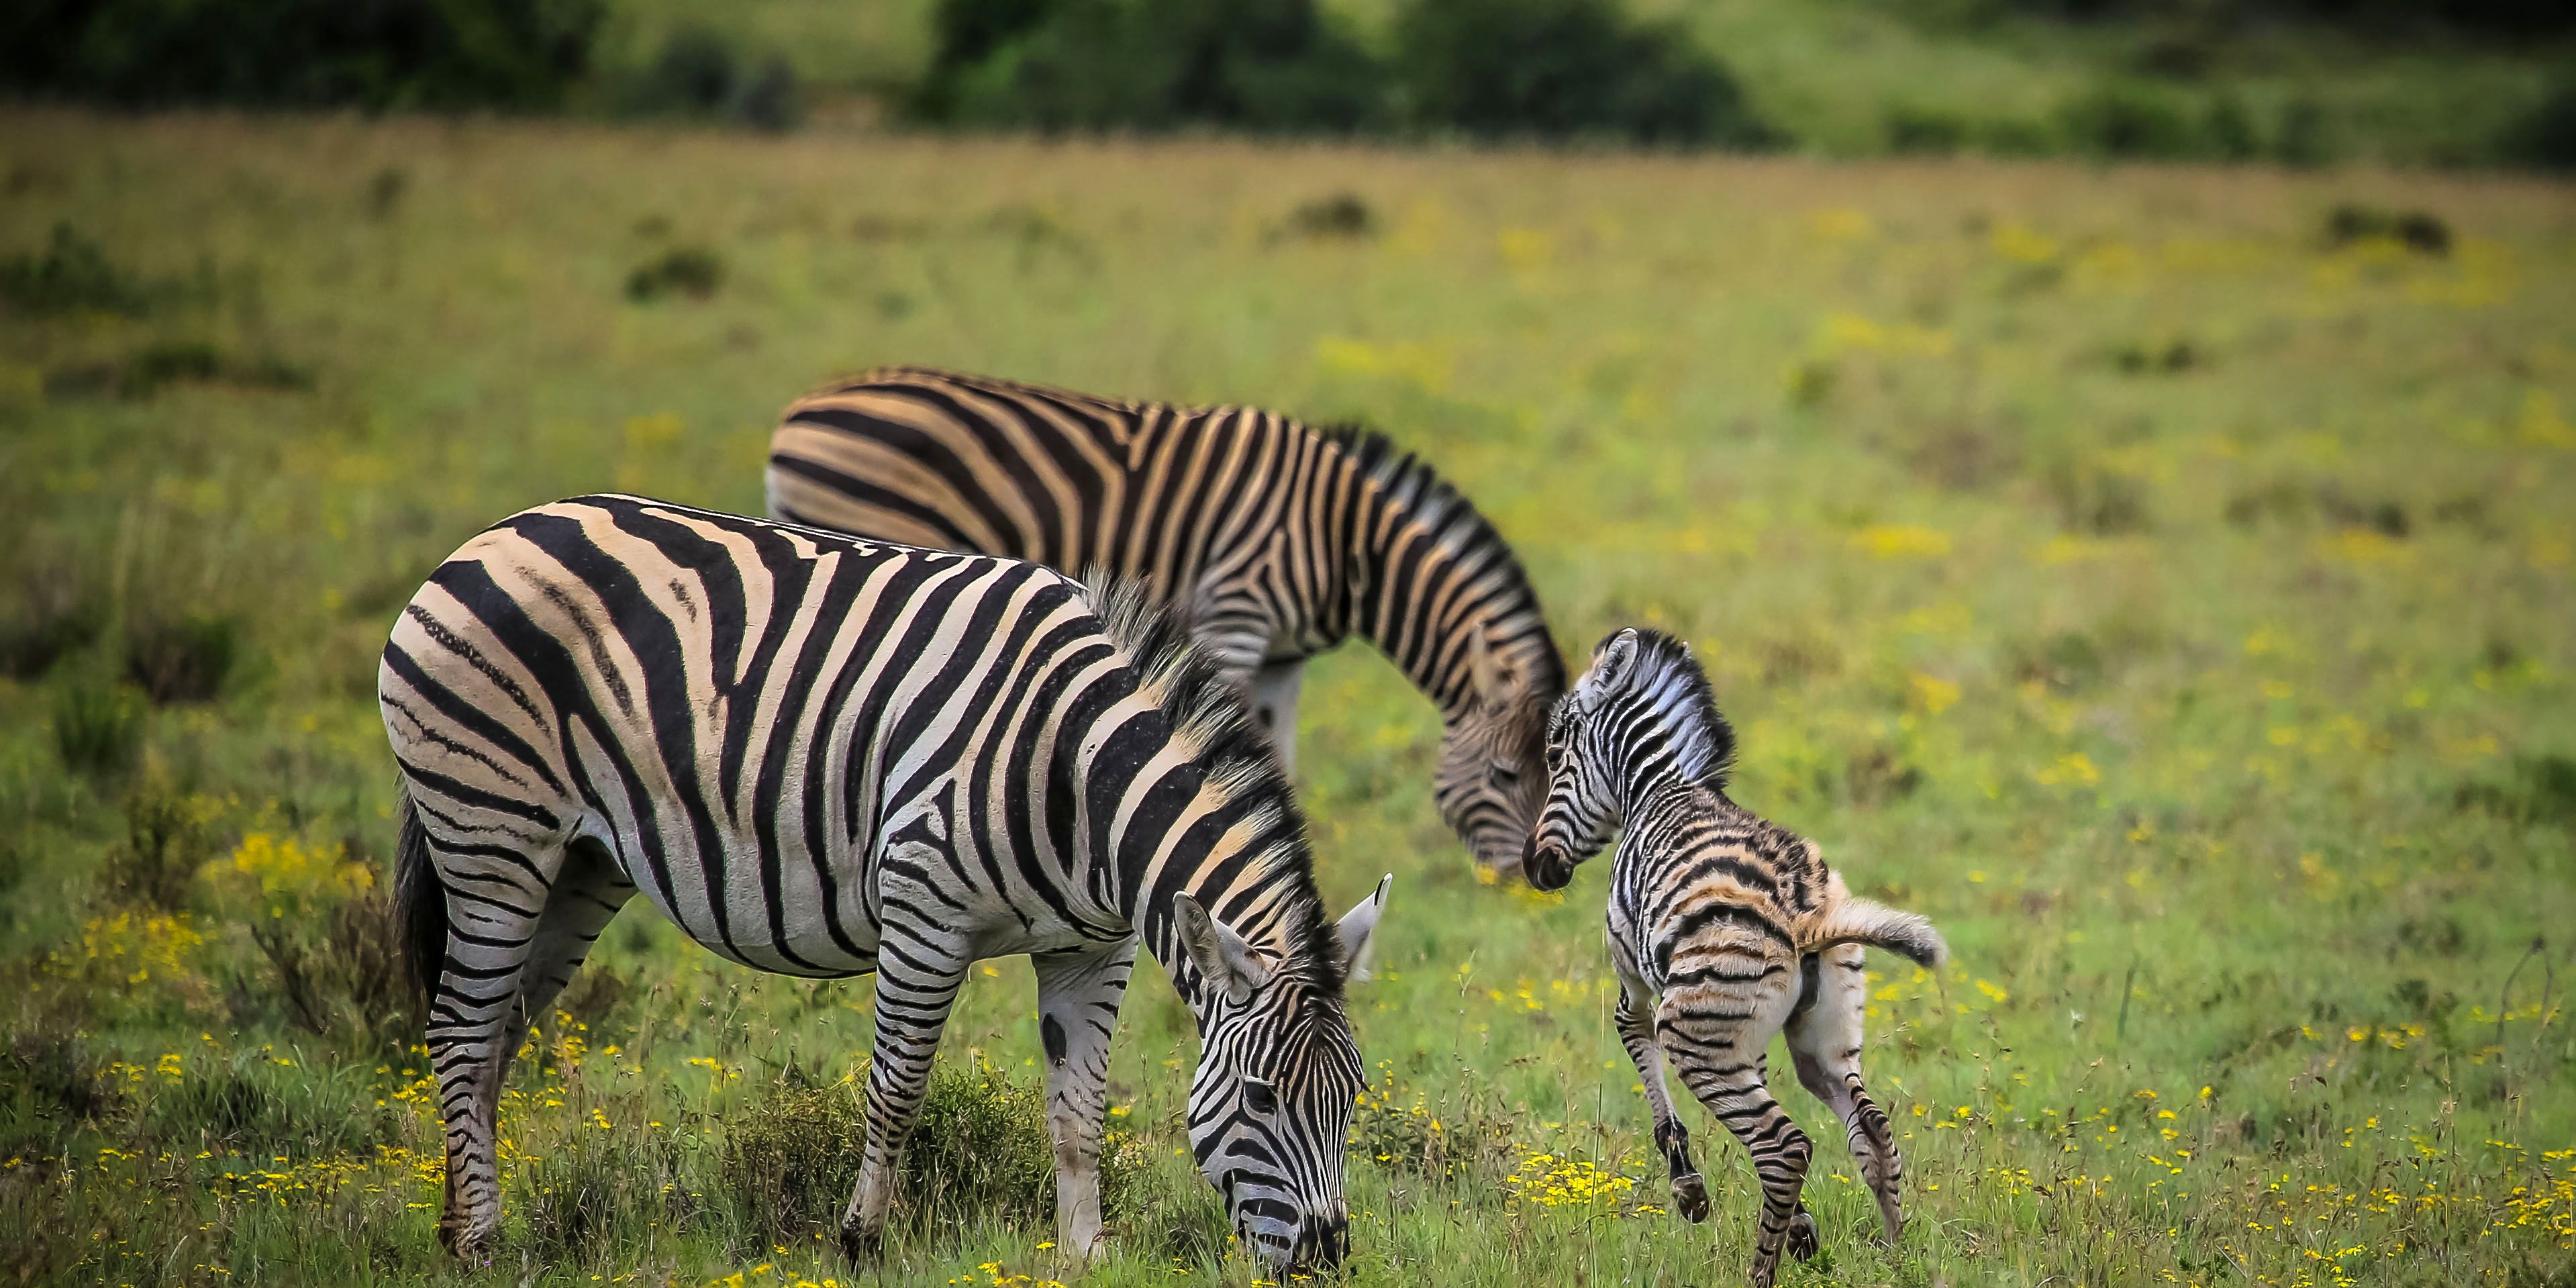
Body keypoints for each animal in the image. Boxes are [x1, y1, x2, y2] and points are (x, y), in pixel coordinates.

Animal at [379, 493, 1391, 1271]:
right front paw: (860, 1239)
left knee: (499, 1034)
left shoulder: (1090, 948)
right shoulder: (923, 914)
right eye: (1261, 1097)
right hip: (492, 834)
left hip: (580, 865)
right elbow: (897, 1088)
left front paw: (1082, 1255)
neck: (1078, 775)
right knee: (460, 1031)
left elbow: (1078, 1109)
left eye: (1351, 1097)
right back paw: (483, 1243)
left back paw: (459, 1227)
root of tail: (499, 530)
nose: (1327, 1255)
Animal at [766, 366, 1563, 880]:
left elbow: (1280, 756)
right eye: (1504, 774)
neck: (1347, 540)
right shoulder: (1238, 611)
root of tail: (803, 406)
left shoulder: (1283, 656)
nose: (1530, 879)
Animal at [1523, 628, 1947, 1288]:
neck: (1660, 787)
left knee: (1783, 1148)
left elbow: (1635, 1044)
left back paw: (1760, 1271)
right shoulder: (1746, 1037)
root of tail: (1803, 911)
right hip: (1821, 1040)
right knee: (1872, 1130)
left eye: (1553, 755)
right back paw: (1896, 1255)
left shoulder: (1634, 977)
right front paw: (1801, 1227)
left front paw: (1689, 1188)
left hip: (1693, 1031)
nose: (1534, 865)